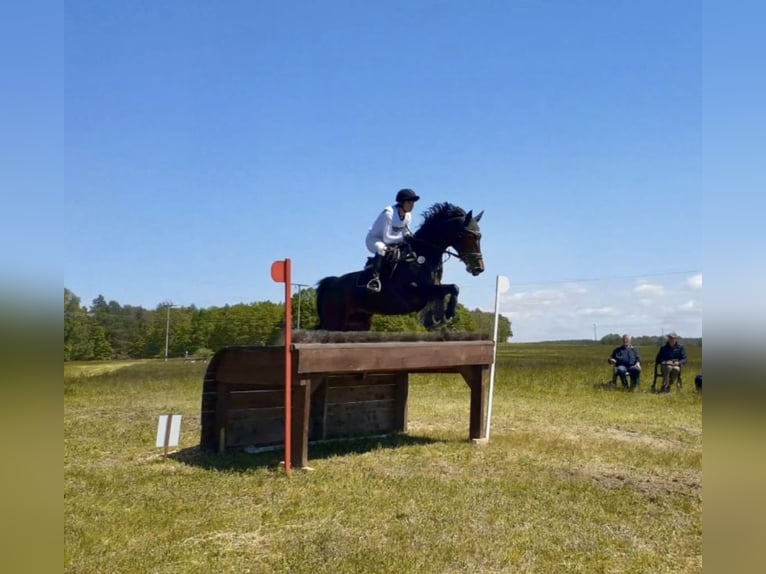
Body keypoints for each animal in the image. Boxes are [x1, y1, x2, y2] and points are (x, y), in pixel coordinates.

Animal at [316, 202, 486, 330]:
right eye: (468, 236)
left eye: (480, 236)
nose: (478, 268)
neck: (422, 255)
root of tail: (332, 282)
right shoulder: (414, 291)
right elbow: (451, 288)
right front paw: (447, 314)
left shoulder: (433, 289)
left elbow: (448, 290)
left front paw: (437, 318)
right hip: (334, 323)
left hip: (358, 324)